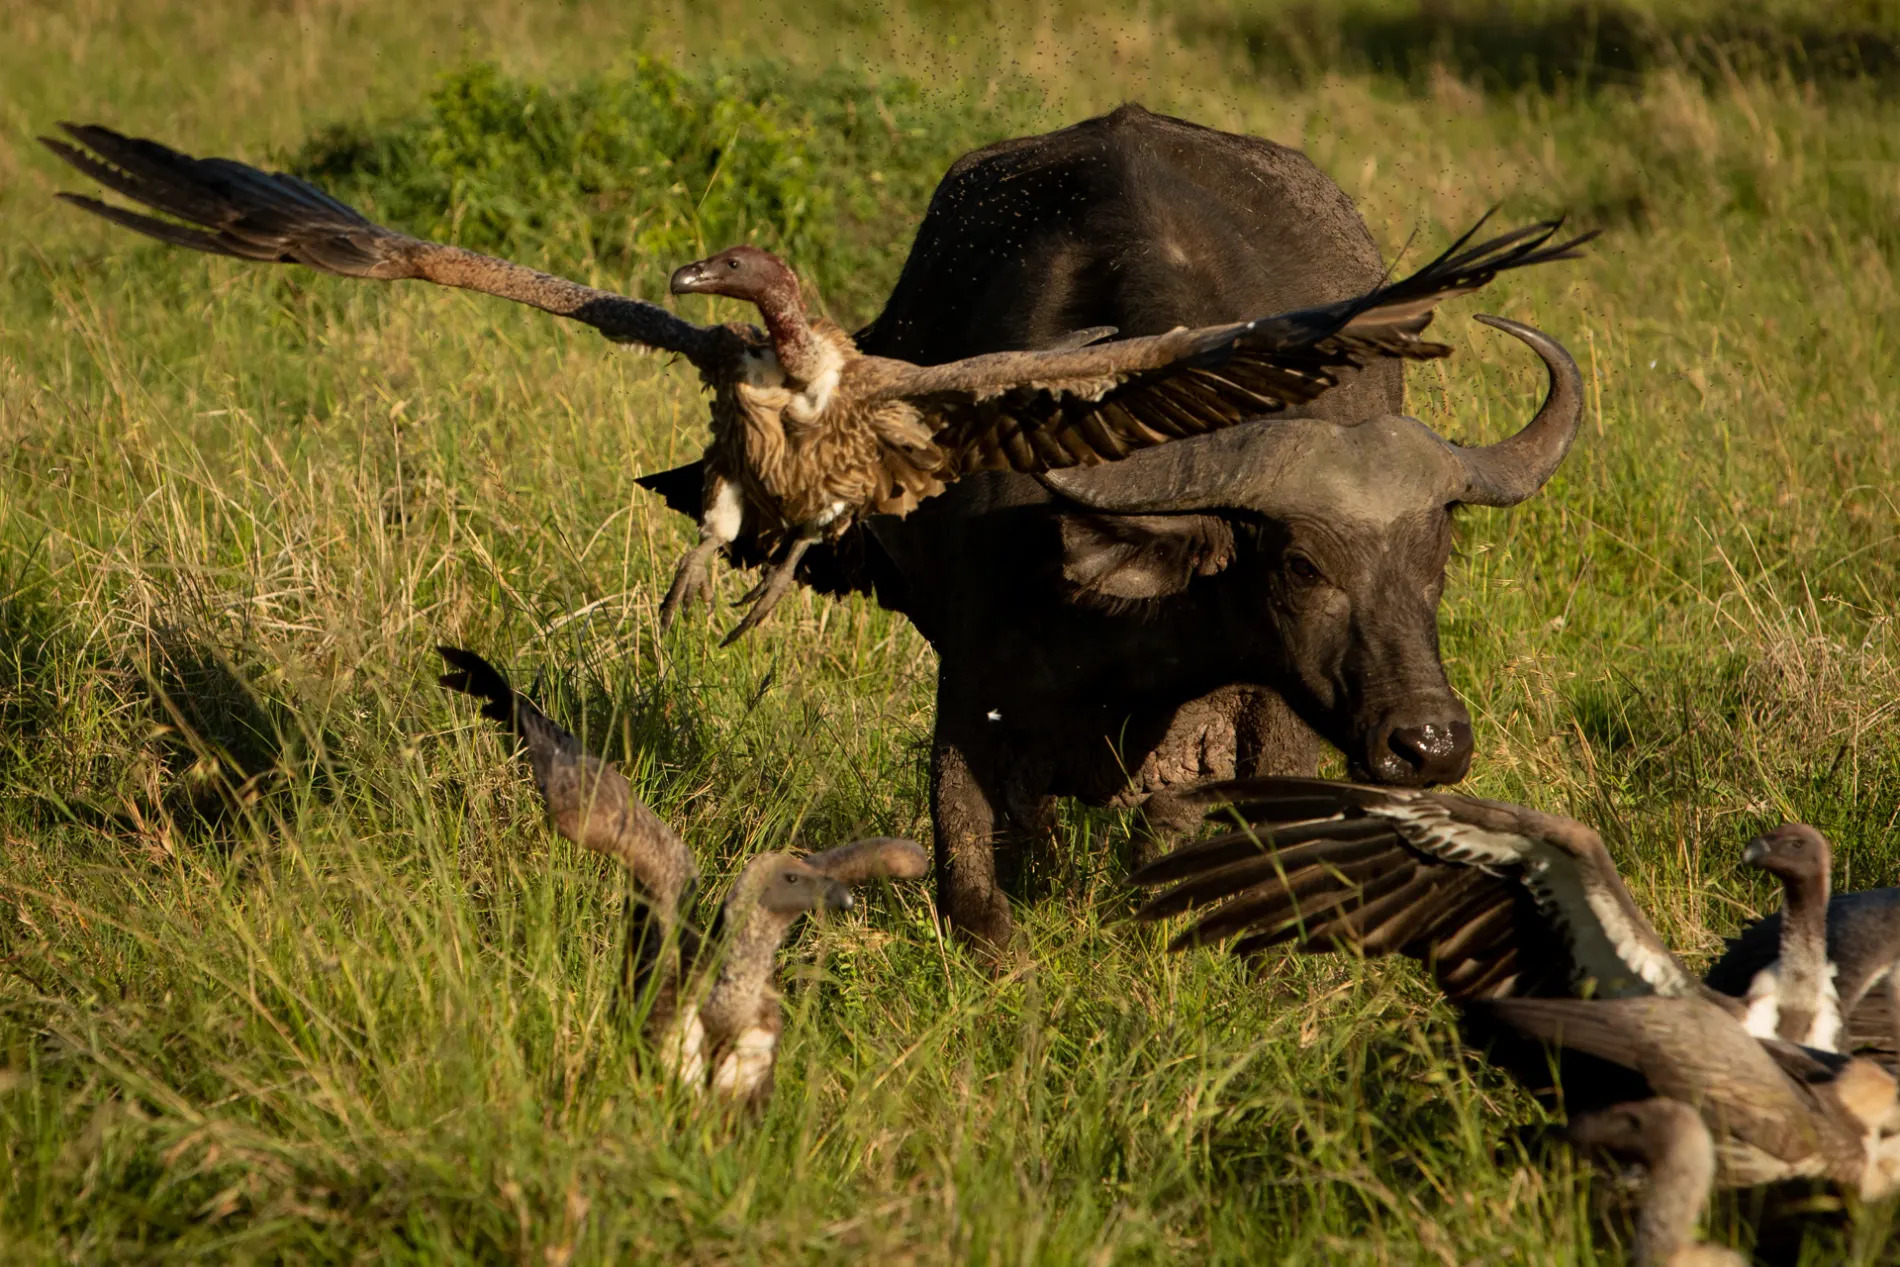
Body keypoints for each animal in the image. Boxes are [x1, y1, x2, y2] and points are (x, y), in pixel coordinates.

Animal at [646, 104, 1580, 949]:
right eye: (1303, 566)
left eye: (1437, 559)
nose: (1428, 744)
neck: (1144, 645)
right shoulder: (972, 702)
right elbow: (975, 888)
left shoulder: (1271, 728)